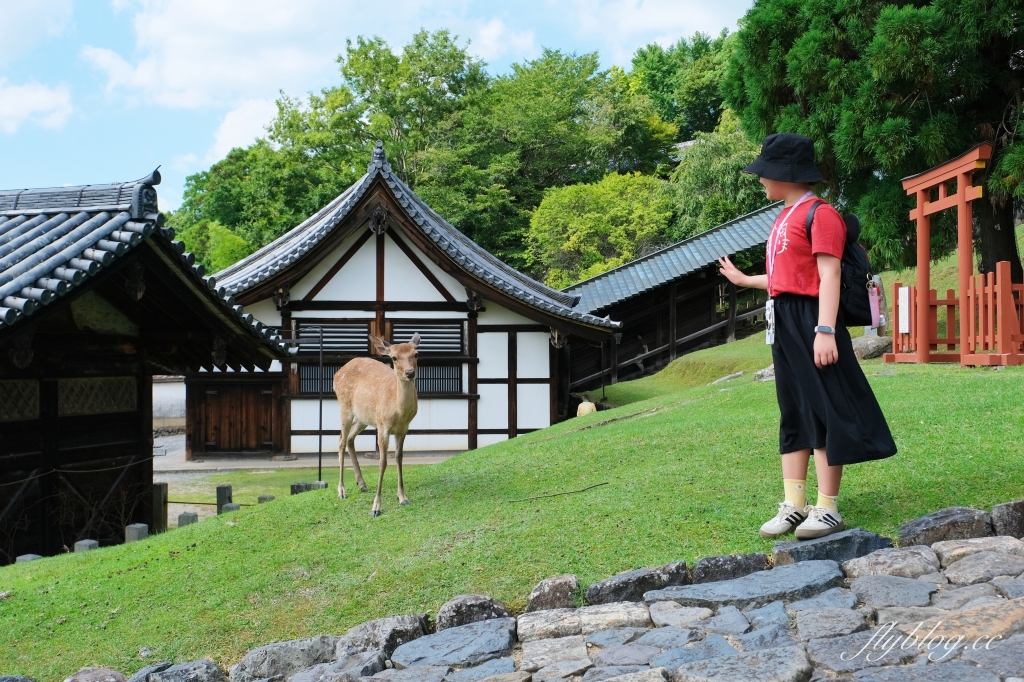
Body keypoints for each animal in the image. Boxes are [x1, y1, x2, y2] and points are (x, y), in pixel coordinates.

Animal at [333, 329, 417, 516]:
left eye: (416, 354)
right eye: (394, 357)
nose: (410, 373)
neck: (398, 412)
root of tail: (337, 373)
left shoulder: (404, 429)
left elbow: (399, 458)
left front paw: (403, 497)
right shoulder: (383, 426)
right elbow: (382, 462)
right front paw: (376, 507)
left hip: (364, 418)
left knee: (349, 438)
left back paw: (362, 484)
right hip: (345, 407)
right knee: (341, 441)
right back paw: (341, 491)